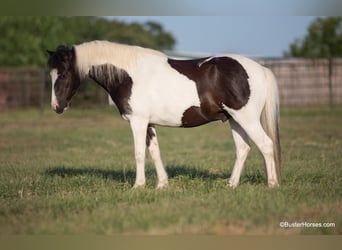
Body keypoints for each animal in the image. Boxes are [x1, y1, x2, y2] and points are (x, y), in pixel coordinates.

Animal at [46, 41, 280, 188]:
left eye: (63, 73)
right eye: (51, 74)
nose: (57, 106)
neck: (129, 74)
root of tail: (260, 69)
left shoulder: (138, 122)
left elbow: (139, 153)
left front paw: (138, 186)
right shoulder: (149, 124)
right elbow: (154, 152)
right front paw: (162, 185)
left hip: (247, 119)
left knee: (266, 145)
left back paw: (272, 184)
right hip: (235, 120)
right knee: (243, 149)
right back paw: (231, 184)